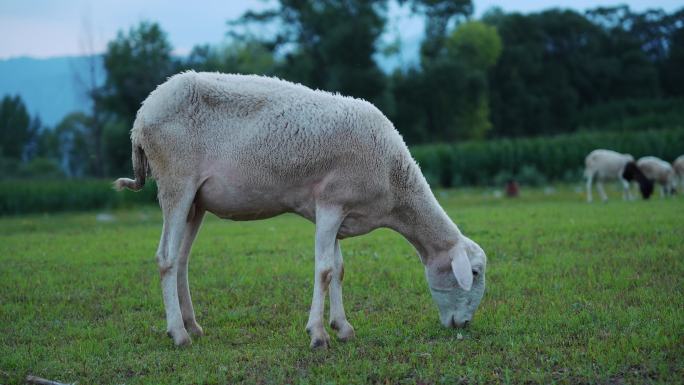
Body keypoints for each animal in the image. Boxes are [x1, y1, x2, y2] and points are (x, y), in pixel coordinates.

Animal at [113, 71, 486, 348]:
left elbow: (339, 269)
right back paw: (178, 334)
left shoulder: (339, 212)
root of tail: (141, 117)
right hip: (176, 182)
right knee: (165, 258)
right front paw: (318, 335)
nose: (464, 324)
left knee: (181, 260)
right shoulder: (331, 203)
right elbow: (324, 270)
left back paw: (192, 325)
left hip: (196, 202)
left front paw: (342, 327)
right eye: (475, 272)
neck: (395, 184)